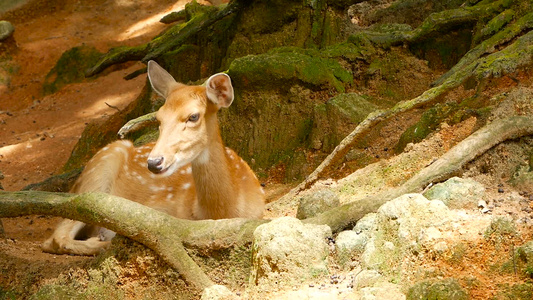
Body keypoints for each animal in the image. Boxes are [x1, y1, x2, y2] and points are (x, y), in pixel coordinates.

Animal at [40, 61, 264, 255]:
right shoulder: (158, 213)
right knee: (56, 237)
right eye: (158, 118)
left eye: (193, 116)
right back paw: (102, 241)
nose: (154, 162)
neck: (221, 211)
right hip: (99, 171)